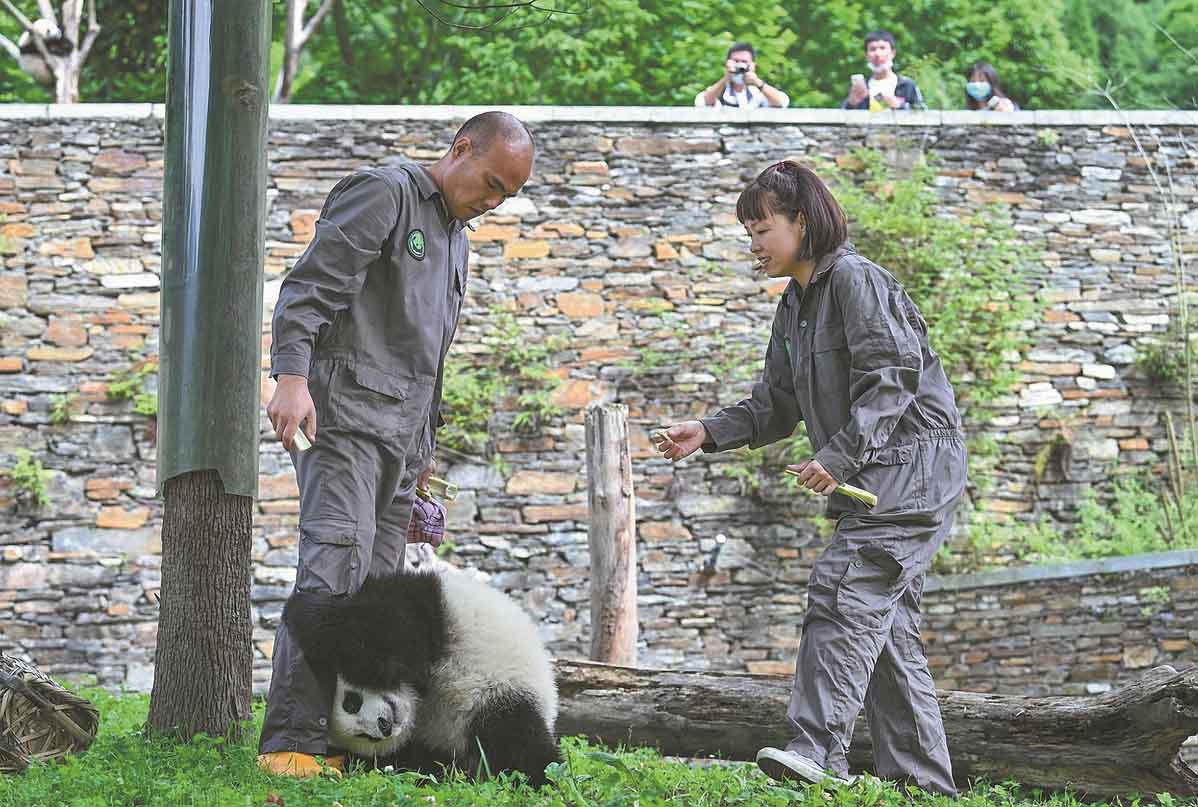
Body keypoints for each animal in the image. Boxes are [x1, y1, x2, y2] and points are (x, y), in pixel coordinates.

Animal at [285, 562, 560, 780]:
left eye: (351, 702)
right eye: (364, 737)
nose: (384, 726)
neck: (416, 702)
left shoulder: (418, 607)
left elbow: (381, 635)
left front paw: (301, 608)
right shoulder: (417, 743)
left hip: (501, 688)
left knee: (515, 738)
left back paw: (538, 777)